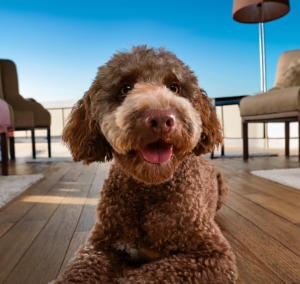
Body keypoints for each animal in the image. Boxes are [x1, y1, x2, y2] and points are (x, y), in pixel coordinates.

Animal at [54, 45, 237, 282]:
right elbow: (78, 271)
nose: (161, 119)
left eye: (175, 88)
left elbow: (148, 276)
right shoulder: (100, 244)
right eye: (125, 88)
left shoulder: (213, 253)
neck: (149, 190)